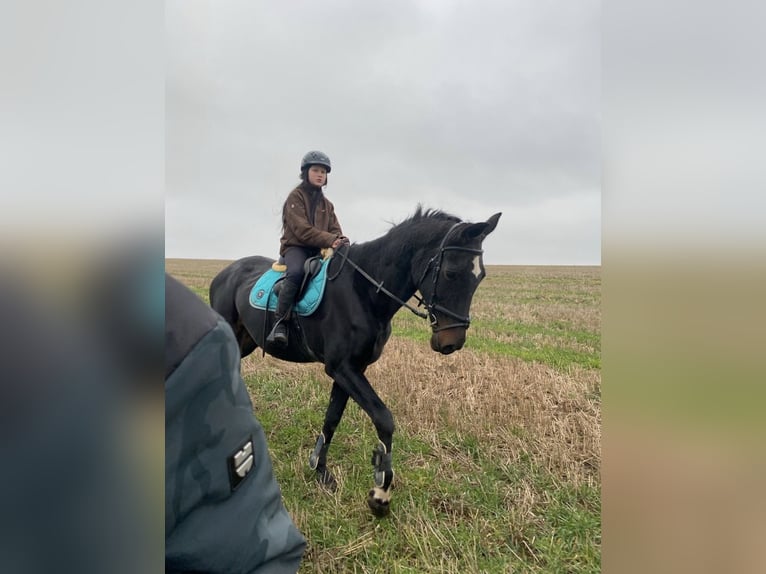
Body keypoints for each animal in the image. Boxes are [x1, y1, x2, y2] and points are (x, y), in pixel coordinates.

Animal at [209, 206, 501, 516]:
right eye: (450, 272)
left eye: (480, 276)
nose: (452, 342)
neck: (364, 291)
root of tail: (224, 273)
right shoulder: (342, 368)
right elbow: (384, 418)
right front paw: (381, 492)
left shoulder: (350, 370)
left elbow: (332, 418)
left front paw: (320, 470)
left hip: (245, 341)